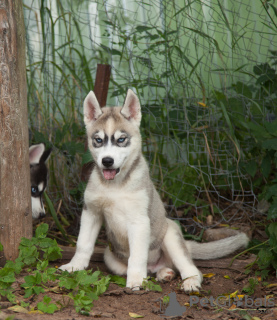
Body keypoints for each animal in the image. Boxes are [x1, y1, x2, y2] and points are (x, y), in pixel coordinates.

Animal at [58, 90, 248, 292]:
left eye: (121, 139)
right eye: (98, 140)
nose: (107, 161)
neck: (116, 185)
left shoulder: (139, 221)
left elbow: (137, 255)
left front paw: (135, 281)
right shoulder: (91, 212)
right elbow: (83, 244)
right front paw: (74, 266)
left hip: (171, 235)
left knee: (189, 267)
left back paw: (189, 281)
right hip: (110, 256)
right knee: (148, 269)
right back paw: (163, 273)